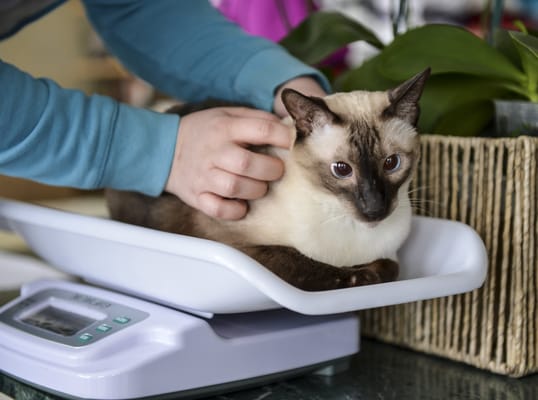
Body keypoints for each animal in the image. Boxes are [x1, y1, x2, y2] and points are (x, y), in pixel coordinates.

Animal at [107, 68, 430, 290]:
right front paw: (360, 276)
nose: (374, 208)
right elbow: (309, 265)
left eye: (391, 163)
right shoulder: (234, 244)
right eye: (341, 169)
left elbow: (389, 268)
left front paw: (368, 272)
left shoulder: (390, 255)